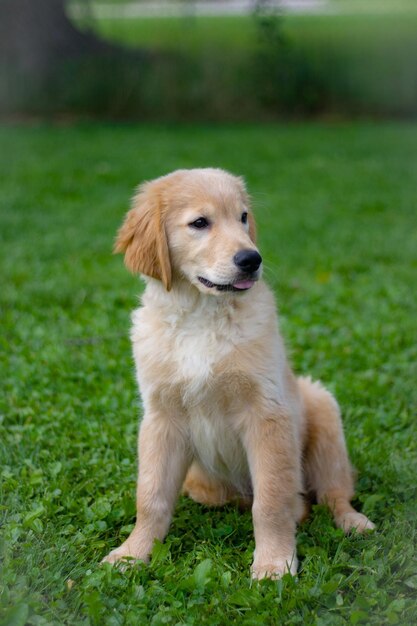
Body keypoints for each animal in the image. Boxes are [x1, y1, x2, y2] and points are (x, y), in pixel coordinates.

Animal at [103, 168, 374, 576]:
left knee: (334, 493)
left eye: (243, 217)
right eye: (200, 223)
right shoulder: (161, 417)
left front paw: (275, 563)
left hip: (323, 409)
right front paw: (133, 552)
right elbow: (150, 496)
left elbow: (272, 499)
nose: (252, 259)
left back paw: (353, 522)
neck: (202, 314)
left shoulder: (267, 413)